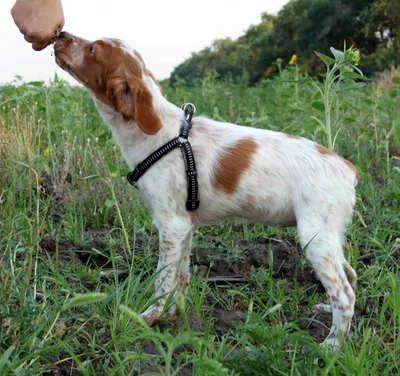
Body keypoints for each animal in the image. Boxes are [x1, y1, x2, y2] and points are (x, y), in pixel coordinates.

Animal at [54, 32, 358, 346]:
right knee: (350, 275)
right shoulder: (183, 227)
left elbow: (163, 279)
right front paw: (174, 314)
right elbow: (181, 276)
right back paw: (326, 312)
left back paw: (332, 345)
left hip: (314, 237)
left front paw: (149, 317)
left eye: (92, 49)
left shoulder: (170, 225)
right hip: (330, 236)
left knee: (345, 293)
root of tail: (348, 169)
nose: (60, 35)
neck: (156, 133)